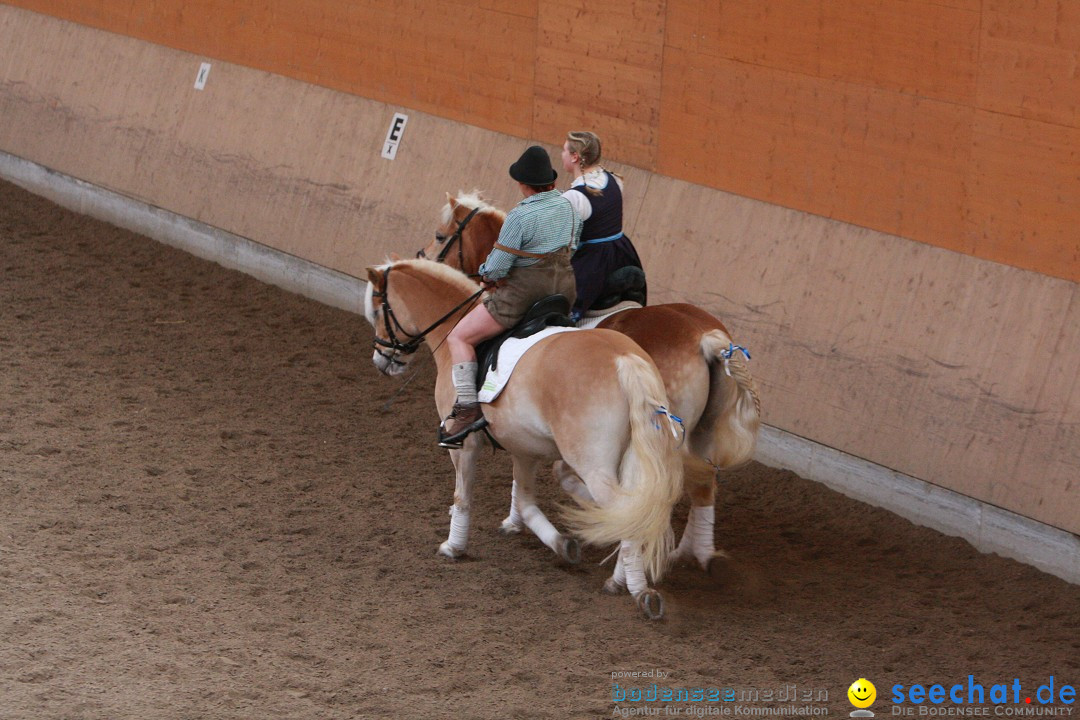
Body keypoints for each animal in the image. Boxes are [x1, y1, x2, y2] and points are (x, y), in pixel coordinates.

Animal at [362, 255, 682, 617]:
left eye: (378, 311)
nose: (382, 361)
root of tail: (624, 359)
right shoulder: (525, 448)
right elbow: (526, 501)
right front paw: (561, 543)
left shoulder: (463, 445)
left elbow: (463, 495)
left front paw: (453, 546)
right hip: (625, 462)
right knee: (633, 512)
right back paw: (621, 579)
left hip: (594, 466)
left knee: (626, 512)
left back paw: (639, 592)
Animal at [416, 193, 764, 578]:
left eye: (440, 235)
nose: (423, 256)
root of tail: (706, 336)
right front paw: (518, 519)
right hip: (699, 433)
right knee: (702, 482)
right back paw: (692, 554)